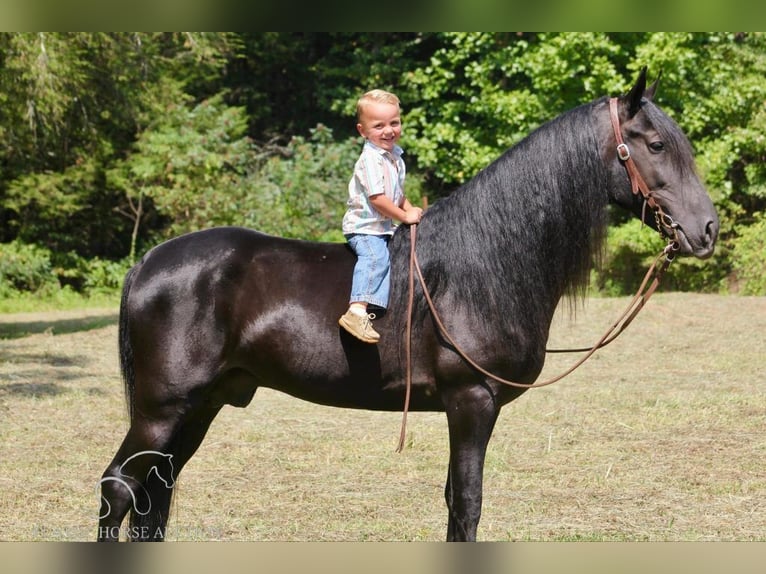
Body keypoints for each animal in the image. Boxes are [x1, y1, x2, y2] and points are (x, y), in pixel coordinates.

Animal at [96, 70, 720, 544]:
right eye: (656, 145)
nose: (707, 231)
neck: (484, 264)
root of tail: (150, 261)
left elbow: (453, 502)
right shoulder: (471, 401)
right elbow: (467, 503)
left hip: (201, 406)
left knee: (151, 497)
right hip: (162, 409)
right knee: (118, 488)